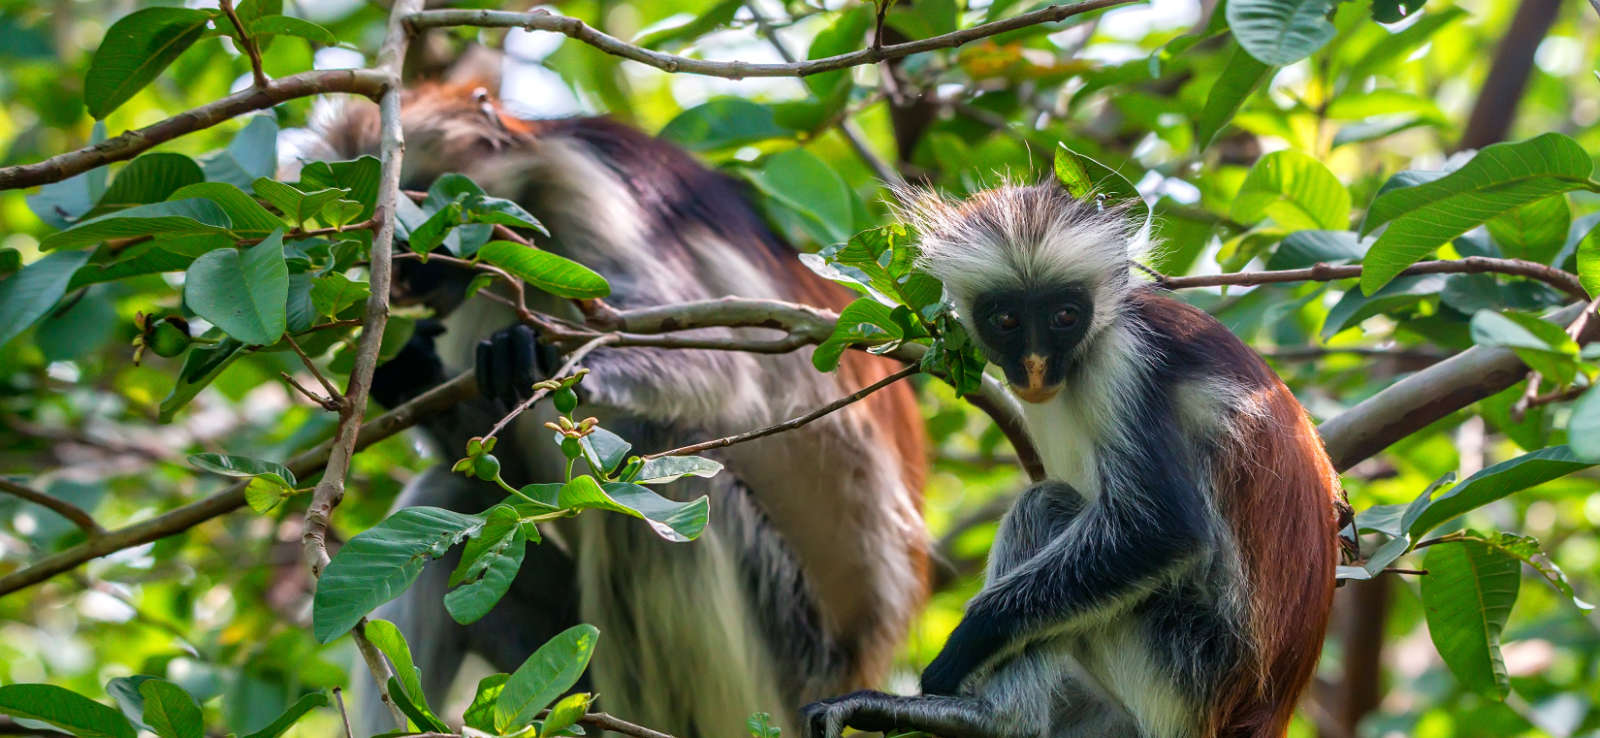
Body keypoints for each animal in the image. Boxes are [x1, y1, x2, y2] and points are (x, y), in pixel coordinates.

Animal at [289, 81, 930, 738]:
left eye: (432, 226)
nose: (407, 282)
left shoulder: (582, 186)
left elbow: (719, 368)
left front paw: (533, 359)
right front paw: (406, 370)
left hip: (788, 659)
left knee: (655, 457)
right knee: (451, 497)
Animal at [801, 183, 1344, 738]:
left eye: (1065, 315)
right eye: (1007, 320)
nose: (1036, 367)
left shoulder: (1123, 361)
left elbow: (1163, 529)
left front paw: (973, 637)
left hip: (1183, 666)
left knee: (1044, 506)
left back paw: (995, 719)